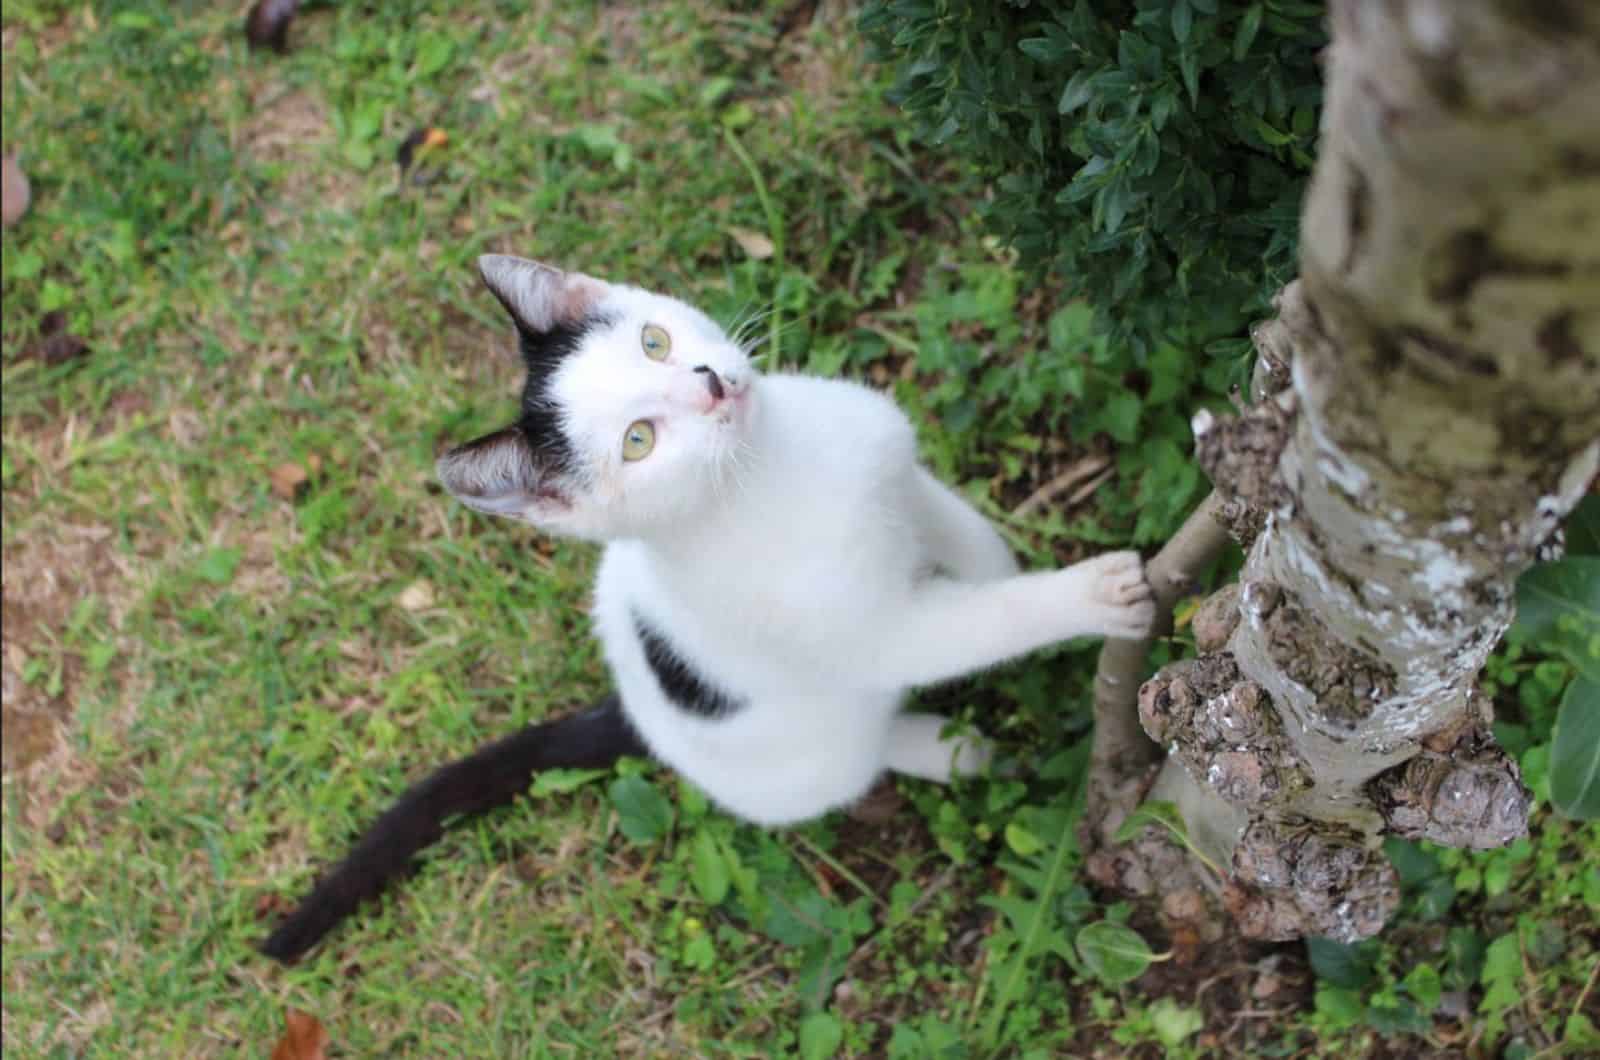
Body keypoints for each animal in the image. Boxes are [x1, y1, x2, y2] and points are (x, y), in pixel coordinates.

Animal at [265, 256, 1164, 960]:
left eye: (654, 341)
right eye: (639, 440)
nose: (704, 382)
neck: (767, 469)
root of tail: (634, 709)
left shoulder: (897, 468)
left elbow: (965, 536)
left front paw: (1005, 565)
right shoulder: (874, 632)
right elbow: (979, 622)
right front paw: (1085, 596)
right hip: (805, 762)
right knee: (860, 756)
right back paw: (950, 748)